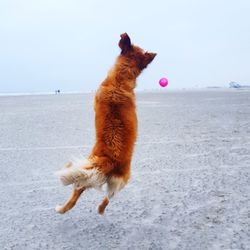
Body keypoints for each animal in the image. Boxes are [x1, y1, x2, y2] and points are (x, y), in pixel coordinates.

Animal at [55, 32, 155, 214]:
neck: (121, 80)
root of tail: (110, 160)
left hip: (95, 169)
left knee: (82, 192)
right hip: (115, 180)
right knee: (104, 196)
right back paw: (96, 209)